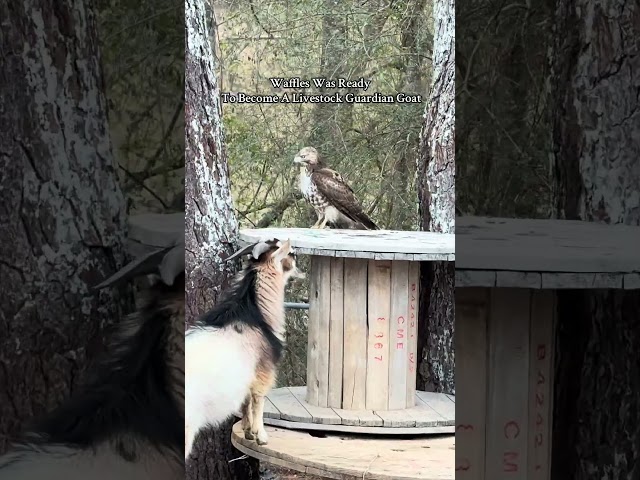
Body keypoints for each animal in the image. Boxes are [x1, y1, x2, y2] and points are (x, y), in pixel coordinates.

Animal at [185, 238, 302, 460]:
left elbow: (246, 401)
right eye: (290, 253)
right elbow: (258, 400)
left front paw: (247, 431)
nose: (299, 268)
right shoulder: (263, 372)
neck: (255, 314)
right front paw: (260, 436)